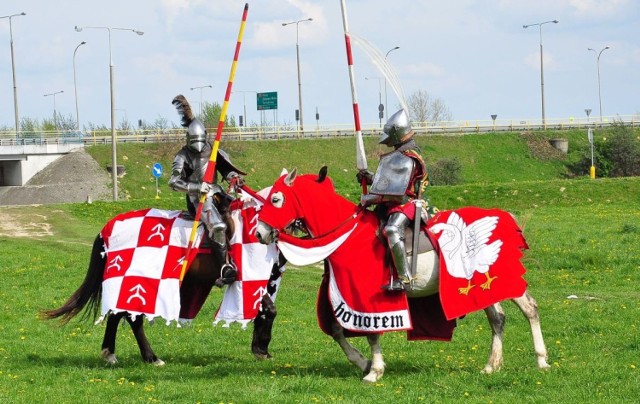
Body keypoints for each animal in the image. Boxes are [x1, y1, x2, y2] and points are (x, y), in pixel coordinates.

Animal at [42, 204, 282, 364]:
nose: (266, 234)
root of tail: (107, 229)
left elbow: (266, 309)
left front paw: (261, 348)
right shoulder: (248, 280)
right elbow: (268, 309)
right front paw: (261, 348)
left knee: (120, 315)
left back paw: (114, 354)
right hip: (137, 280)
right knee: (130, 318)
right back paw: (149, 357)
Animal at [255, 166, 552, 382]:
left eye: (276, 199)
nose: (259, 233)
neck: (346, 234)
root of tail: (505, 217)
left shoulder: (366, 298)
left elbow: (372, 333)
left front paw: (374, 370)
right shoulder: (342, 297)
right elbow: (337, 330)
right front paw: (362, 362)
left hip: (501, 279)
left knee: (530, 309)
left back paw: (541, 359)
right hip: (480, 286)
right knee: (498, 319)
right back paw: (493, 365)